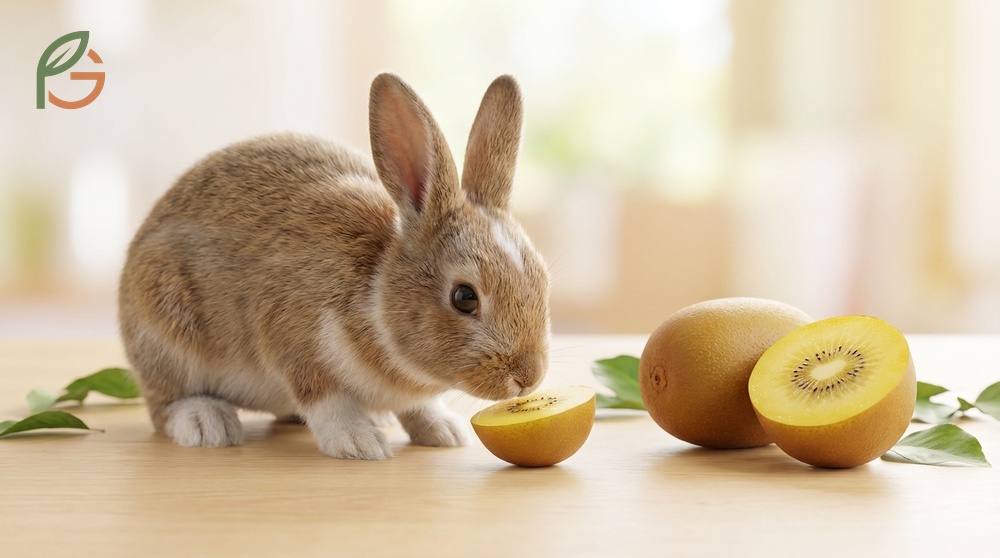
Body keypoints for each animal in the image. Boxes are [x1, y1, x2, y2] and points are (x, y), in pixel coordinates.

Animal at [118, 73, 551, 460]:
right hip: (165, 332)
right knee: (163, 405)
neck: (377, 293)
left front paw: (445, 431)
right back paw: (207, 423)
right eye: (464, 297)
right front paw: (359, 442)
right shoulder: (292, 337)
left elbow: (419, 407)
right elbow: (325, 400)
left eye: (543, 281)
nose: (528, 376)